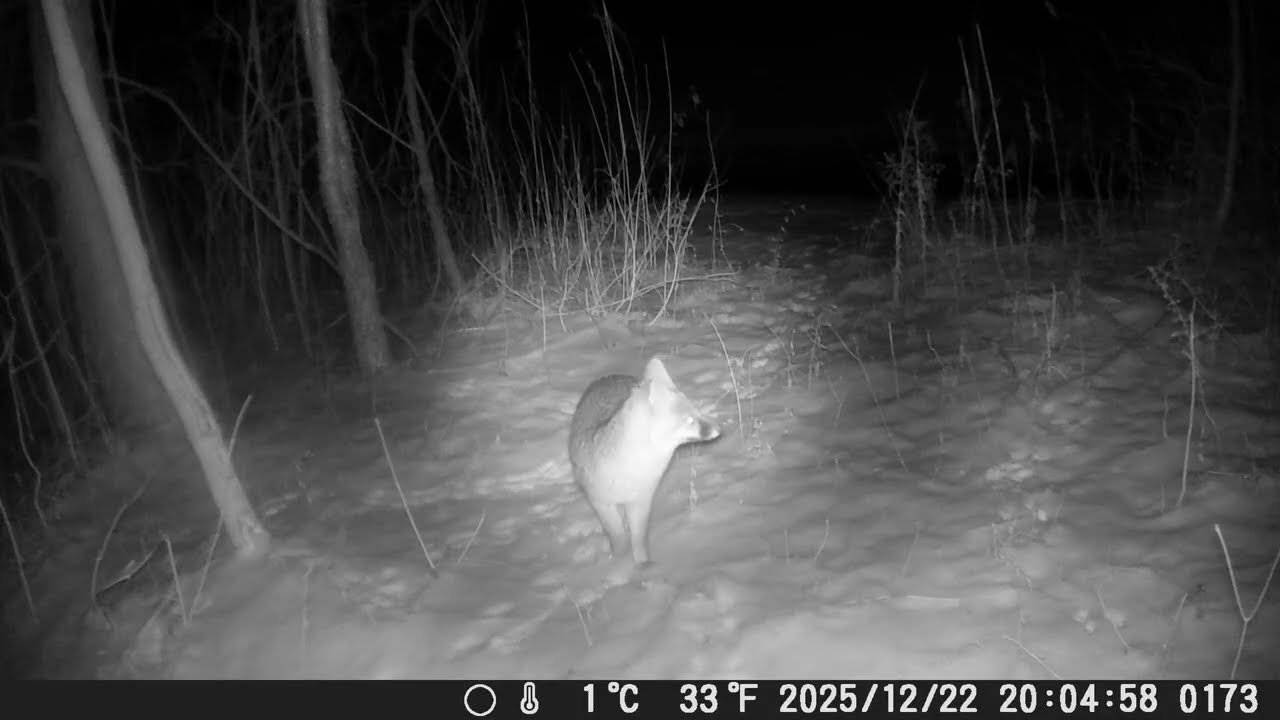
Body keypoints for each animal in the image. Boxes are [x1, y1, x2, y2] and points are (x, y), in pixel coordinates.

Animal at [568, 356, 721, 566]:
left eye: (697, 412)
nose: (719, 429)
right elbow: (618, 537)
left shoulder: (641, 502)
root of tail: (611, 376)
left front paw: (642, 567)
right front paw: (617, 564)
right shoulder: (600, 502)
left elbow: (639, 540)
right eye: (689, 420)